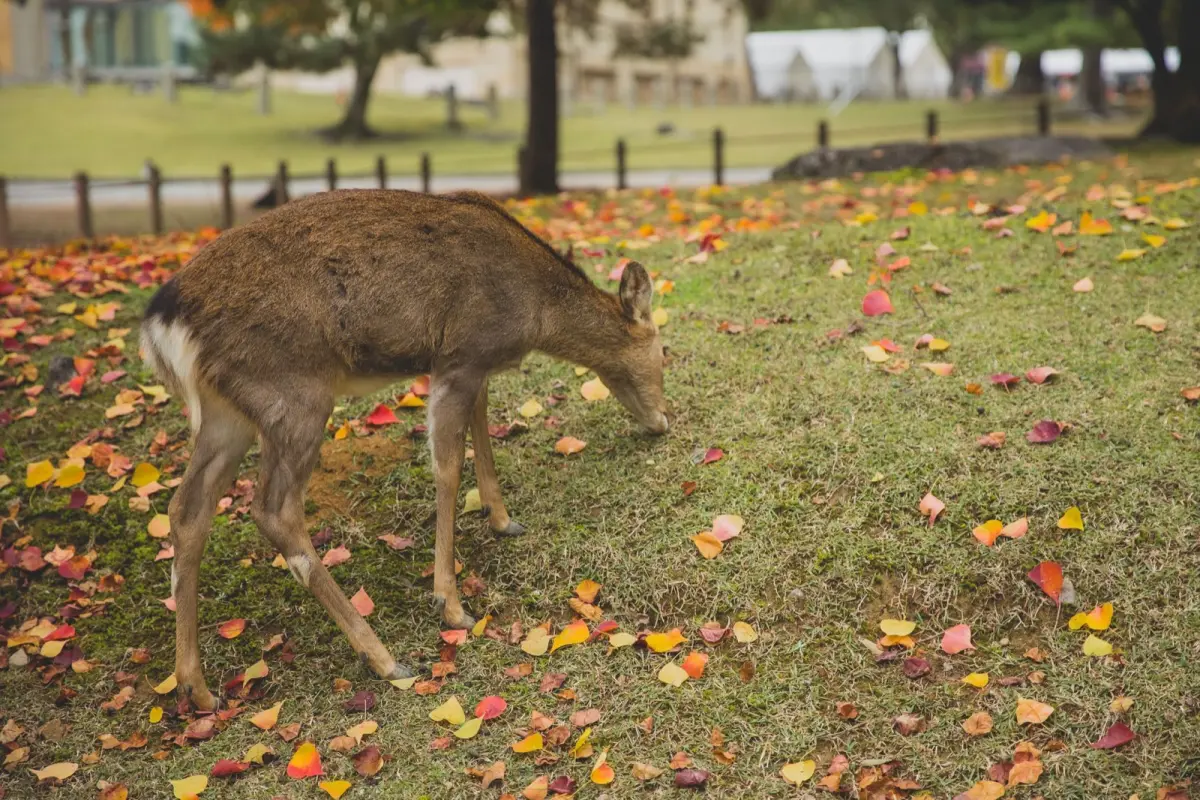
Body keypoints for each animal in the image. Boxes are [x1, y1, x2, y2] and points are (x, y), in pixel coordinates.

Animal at [141, 189, 668, 710]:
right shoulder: (461, 353)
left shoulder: (472, 364)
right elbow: (447, 466)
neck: (534, 311)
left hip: (226, 414)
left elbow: (481, 423)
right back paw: (385, 658)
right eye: (665, 350)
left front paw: (501, 519)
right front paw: (450, 603)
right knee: (274, 510)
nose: (662, 422)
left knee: (187, 508)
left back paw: (196, 686)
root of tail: (162, 324)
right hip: (293, 392)